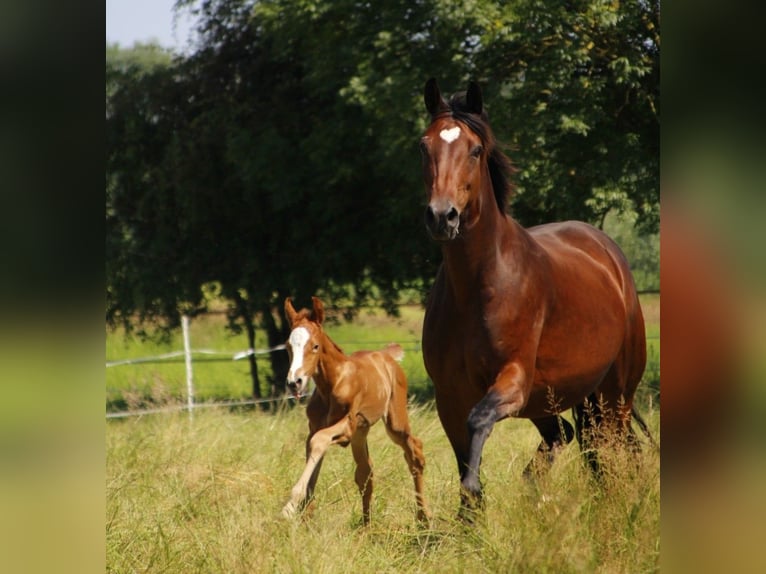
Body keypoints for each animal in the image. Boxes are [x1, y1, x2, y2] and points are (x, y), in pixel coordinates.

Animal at [280, 296, 432, 528]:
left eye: (315, 346)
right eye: (289, 346)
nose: (294, 383)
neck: (332, 384)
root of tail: (386, 355)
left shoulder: (347, 426)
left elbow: (320, 441)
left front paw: (289, 507)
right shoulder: (316, 429)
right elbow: (315, 453)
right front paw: (305, 516)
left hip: (394, 422)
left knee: (414, 451)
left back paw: (424, 517)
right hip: (362, 432)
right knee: (365, 472)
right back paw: (366, 526)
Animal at [420, 80, 648, 516]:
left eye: (476, 150)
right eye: (424, 146)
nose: (443, 217)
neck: (478, 287)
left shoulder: (513, 379)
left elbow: (478, 421)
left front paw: (476, 490)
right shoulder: (448, 396)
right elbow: (463, 454)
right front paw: (470, 515)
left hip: (615, 395)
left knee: (613, 450)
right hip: (554, 398)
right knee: (569, 436)